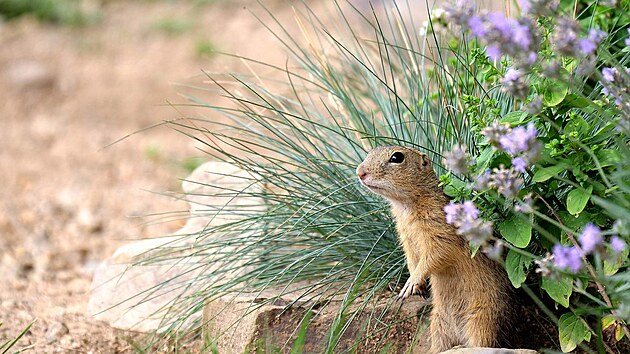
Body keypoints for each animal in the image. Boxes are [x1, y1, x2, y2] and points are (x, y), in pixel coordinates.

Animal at [358, 145, 516, 352]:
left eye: (397, 157)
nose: (360, 172)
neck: (406, 205)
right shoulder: (407, 241)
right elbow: (412, 260)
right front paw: (416, 286)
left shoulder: (439, 234)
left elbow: (434, 256)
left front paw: (410, 284)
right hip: (438, 326)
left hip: (482, 321)